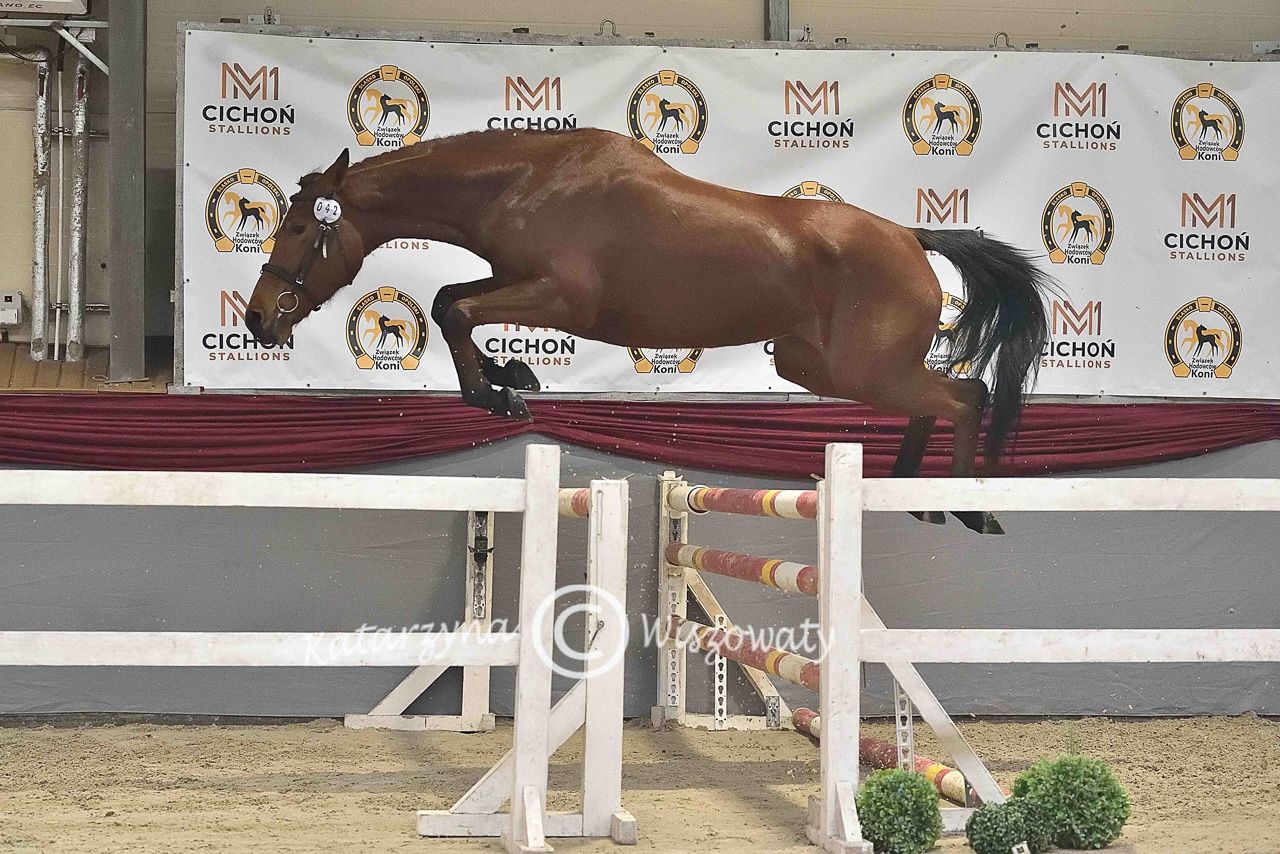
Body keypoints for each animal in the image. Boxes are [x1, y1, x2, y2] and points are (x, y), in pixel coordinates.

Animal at [245, 128, 1055, 534]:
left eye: (300, 229)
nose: (257, 317)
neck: (527, 178)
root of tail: (912, 237)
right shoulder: (518, 280)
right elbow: (451, 300)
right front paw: (512, 378)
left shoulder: (565, 301)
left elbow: (455, 310)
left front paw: (501, 392)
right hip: (817, 366)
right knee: (941, 394)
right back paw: (913, 494)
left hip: (863, 370)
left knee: (968, 395)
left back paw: (972, 509)